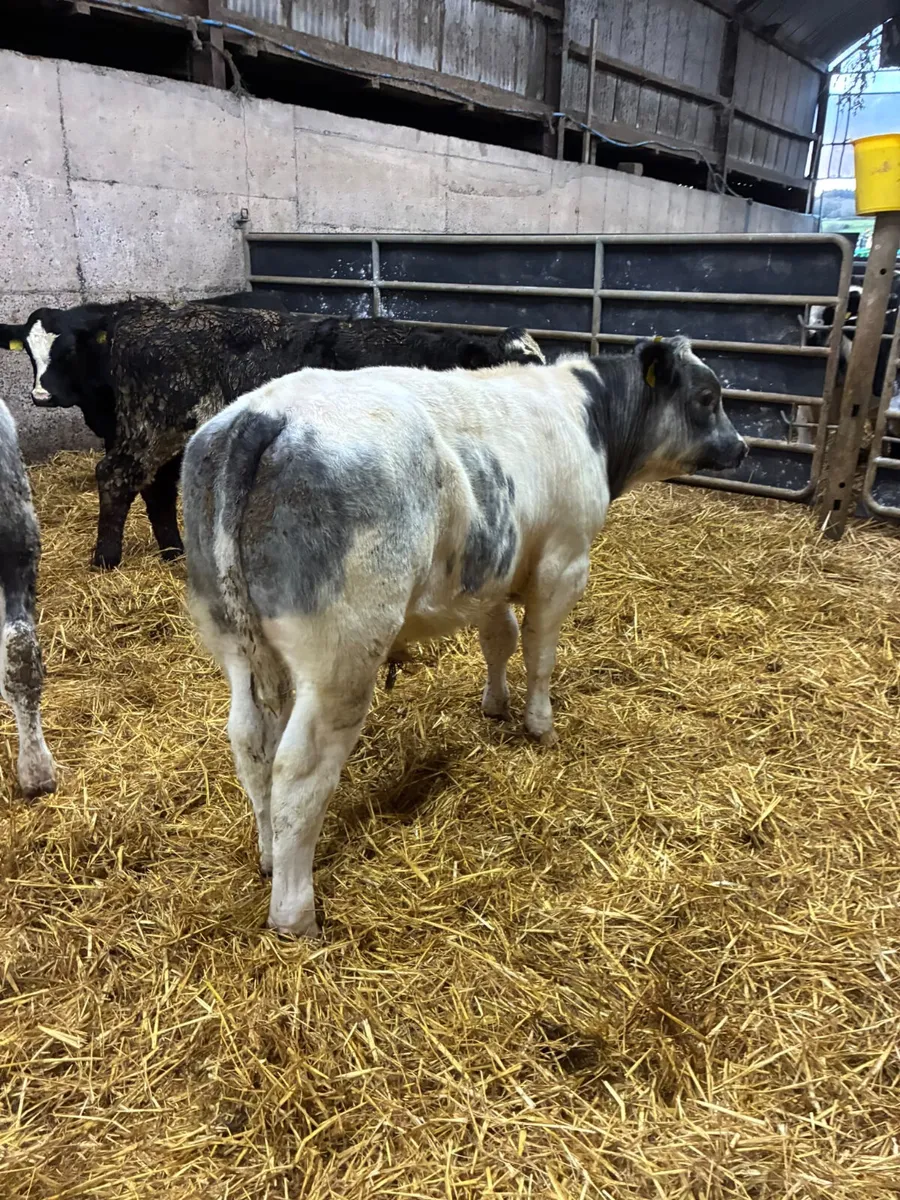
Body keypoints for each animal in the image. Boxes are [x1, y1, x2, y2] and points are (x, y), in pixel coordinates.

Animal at [1, 299, 544, 569]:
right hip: (149, 426)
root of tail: (142, 317)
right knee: (115, 476)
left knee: (155, 485)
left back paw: (174, 552)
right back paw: (106, 560)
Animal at [180, 335, 747, 938]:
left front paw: (495, 704)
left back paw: (268, 856)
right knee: (298, 770)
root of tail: (267, 412)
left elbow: (500, 638)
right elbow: (539, 652)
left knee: (251, 745)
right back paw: (295, 913)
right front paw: (539, 724)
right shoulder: (564, 564)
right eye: (708, 396)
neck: (586, 414)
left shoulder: (489, 578)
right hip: (341, 655)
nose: (741, 447)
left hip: (235, 643)